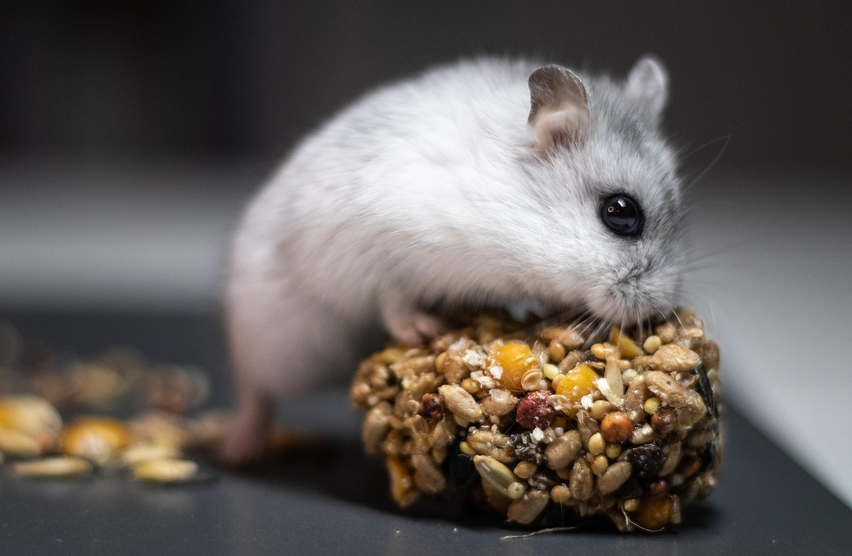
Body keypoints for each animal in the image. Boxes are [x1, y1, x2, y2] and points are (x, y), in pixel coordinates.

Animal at [222, 56, 686, 463]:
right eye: (620, 212)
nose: (660, 310)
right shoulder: (383, 249)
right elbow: (393, 301)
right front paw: (425, 329)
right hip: (276, 339)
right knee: (254, 390)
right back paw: (241, 448)